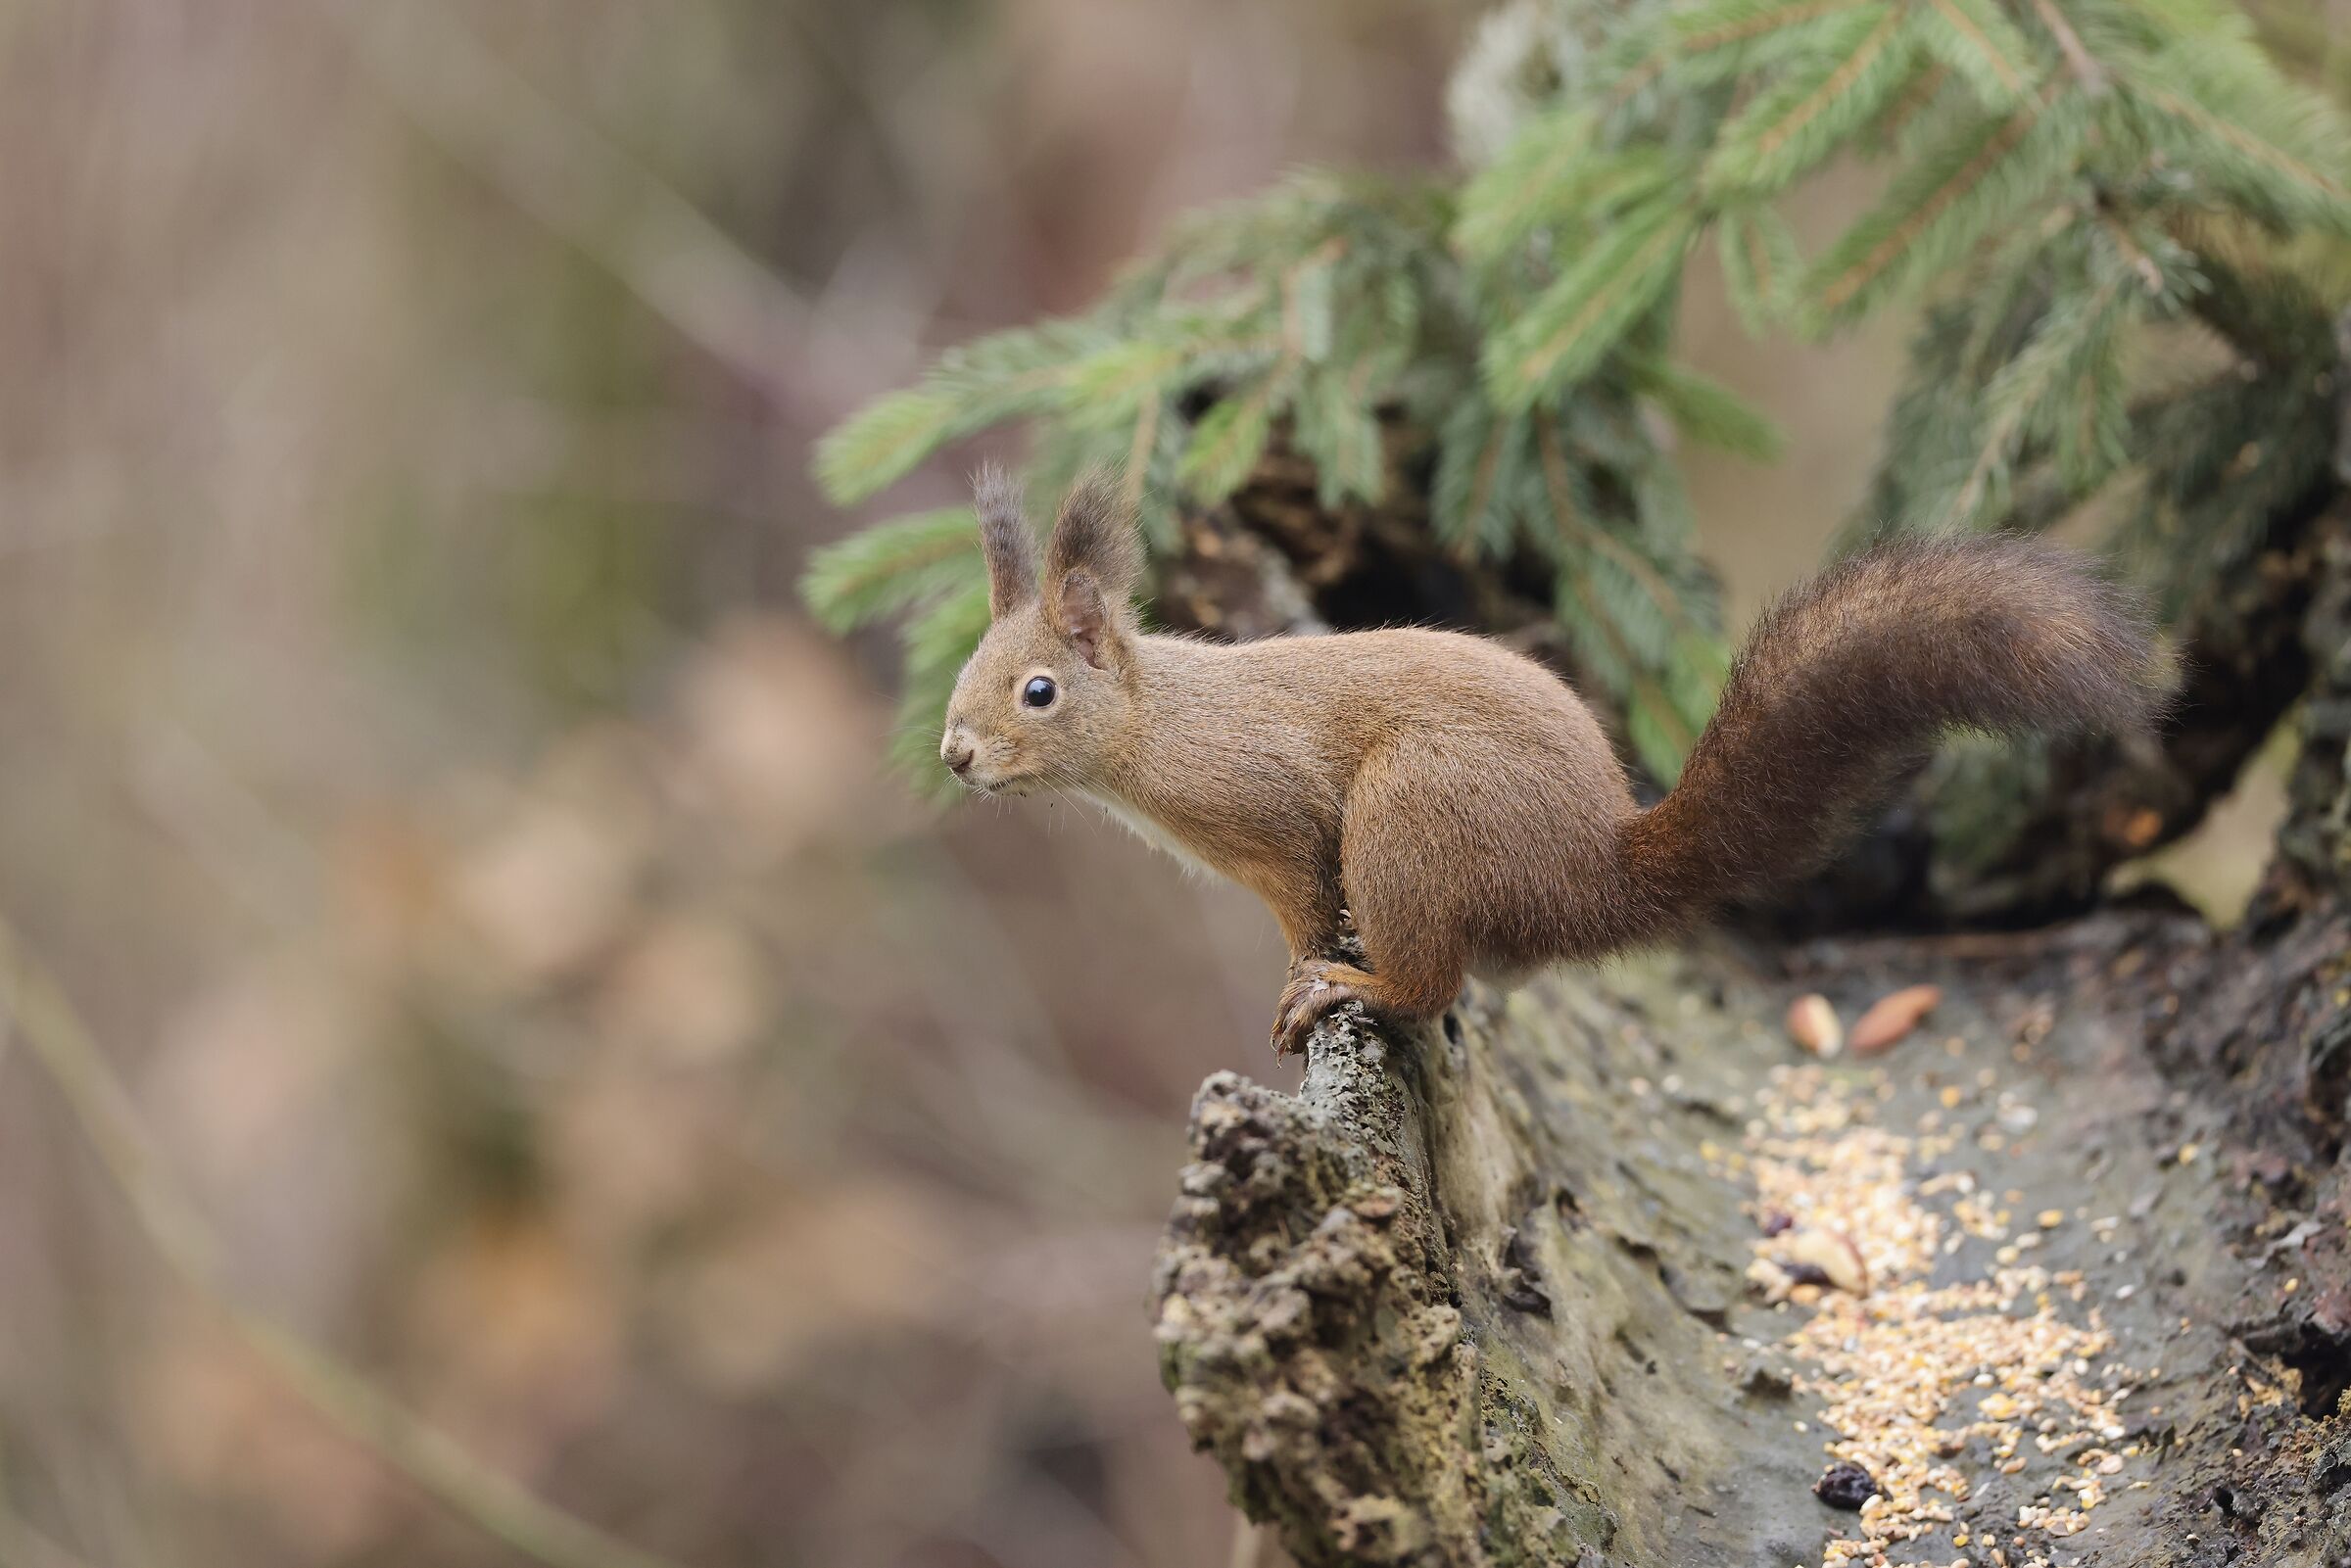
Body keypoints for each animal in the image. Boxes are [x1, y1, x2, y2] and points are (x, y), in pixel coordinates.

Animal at [938, 467, 2165, 1056]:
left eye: (1038, 691)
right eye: (966, 670)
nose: (953, 753)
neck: (1157, 728)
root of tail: (1592, 873)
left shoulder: (1275, 809)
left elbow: (1306, 902)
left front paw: (1302, 975)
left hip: (1414, 812)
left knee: (1431, 984)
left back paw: (1361, 985)